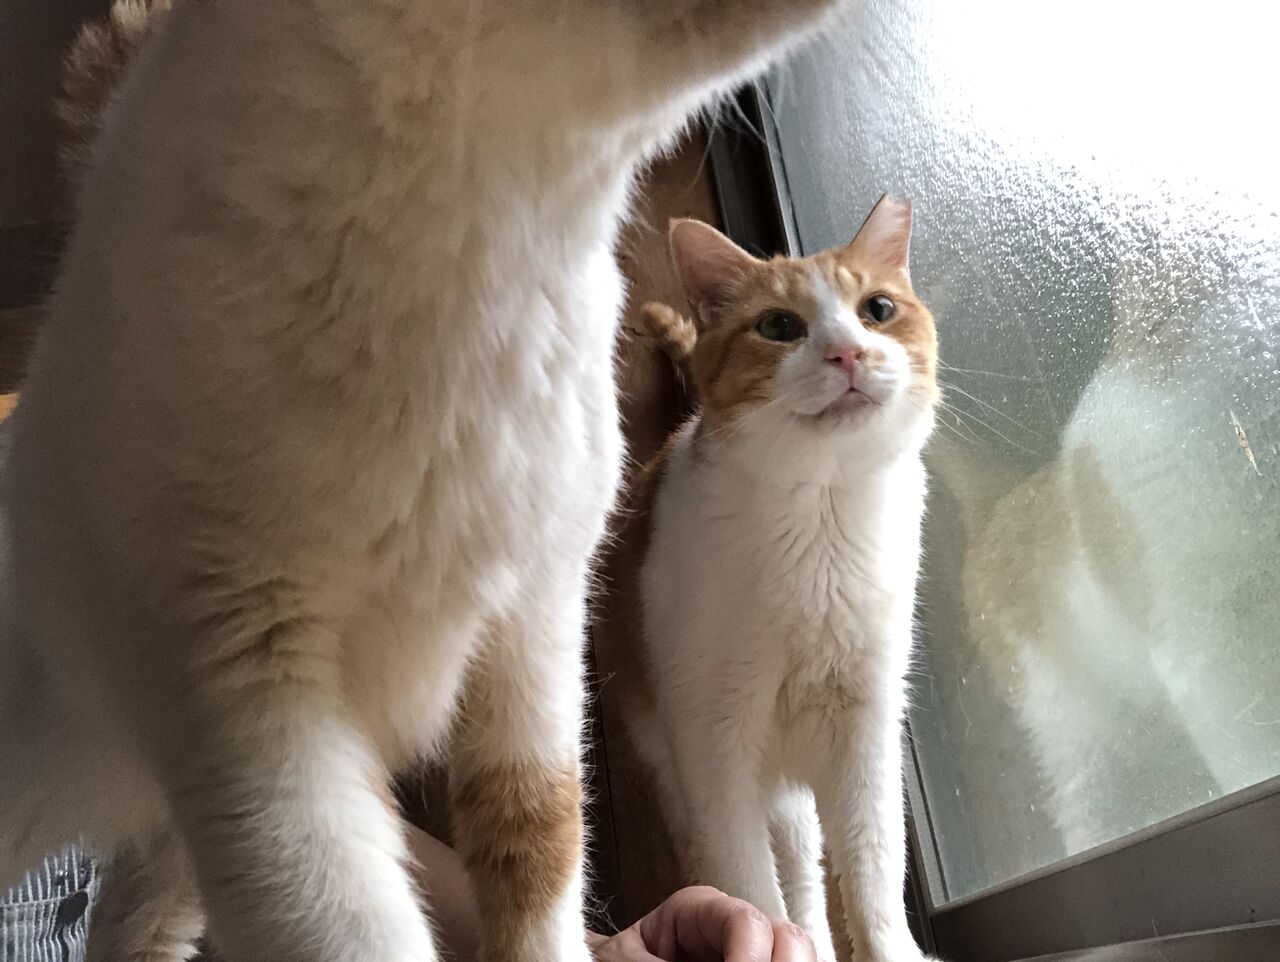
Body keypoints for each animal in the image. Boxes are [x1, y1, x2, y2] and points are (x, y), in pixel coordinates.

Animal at [0, 1, 855, 960]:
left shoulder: (535, 624)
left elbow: (538, 860)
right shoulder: (251, 699)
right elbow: (350, 927)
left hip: (173, 837)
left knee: (130, 910)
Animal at [610, 197, 939, 962]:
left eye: (878, 310)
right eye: (779, 327)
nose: (848, 353)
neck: (821, 517)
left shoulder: (865, 724)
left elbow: (874, 870)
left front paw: (892, 949)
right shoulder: (714, 742)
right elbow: (746, 885)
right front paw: (758, 936)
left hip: (790, 801)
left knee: (807, 873)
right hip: (681, 762)